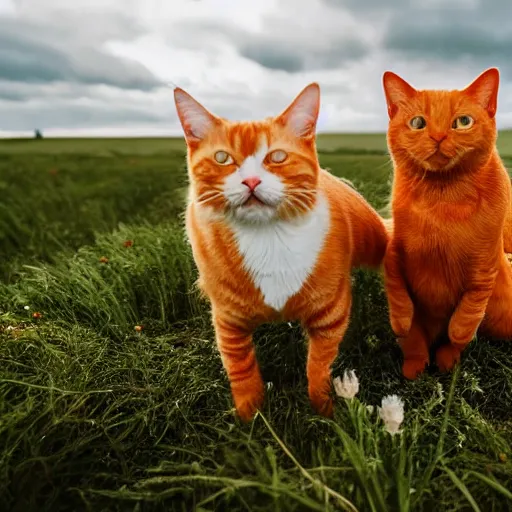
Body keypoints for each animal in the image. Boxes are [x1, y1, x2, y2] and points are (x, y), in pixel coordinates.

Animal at [174, 83, 386, 420]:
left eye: (277, 156)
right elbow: (241, 371)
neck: (268, 235)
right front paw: (251, 418)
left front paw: (324, 410)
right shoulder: (228, 323)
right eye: (222, 158)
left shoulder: (331, 314)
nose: (251, 180)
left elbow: (319, 365)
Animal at [384, 68, 512, 378]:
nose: (439, 136)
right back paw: (414, 368)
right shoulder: (394, 246)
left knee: (451, 344)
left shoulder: (485, 266)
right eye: (418, 123)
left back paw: (446, 360)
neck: (442, 199)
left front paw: (458, 333)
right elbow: (397, 293)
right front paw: (401, 319)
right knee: (415, 345)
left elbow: (468, 313)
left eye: (463, 122)